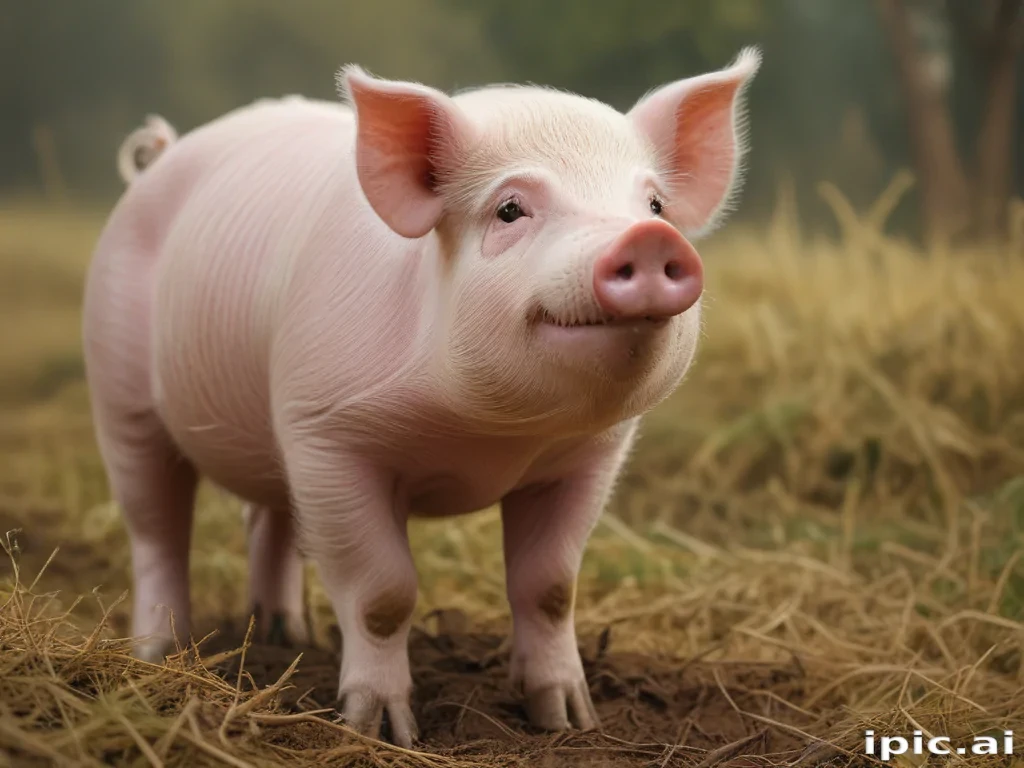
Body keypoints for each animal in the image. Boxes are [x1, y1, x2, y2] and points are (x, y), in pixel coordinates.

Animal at [82, 48, 761, 747]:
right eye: (510, 210)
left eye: (654, 205)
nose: (648, 241)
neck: (490, 439)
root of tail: (162, 157)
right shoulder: (328, 435)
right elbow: (382, 595)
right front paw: (383, 731)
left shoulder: (588, 456)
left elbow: (550, 586)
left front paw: (569, 720)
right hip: (119, 388)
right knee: (156, 528)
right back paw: (159, 652)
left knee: (266, 520)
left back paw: (287, 637)